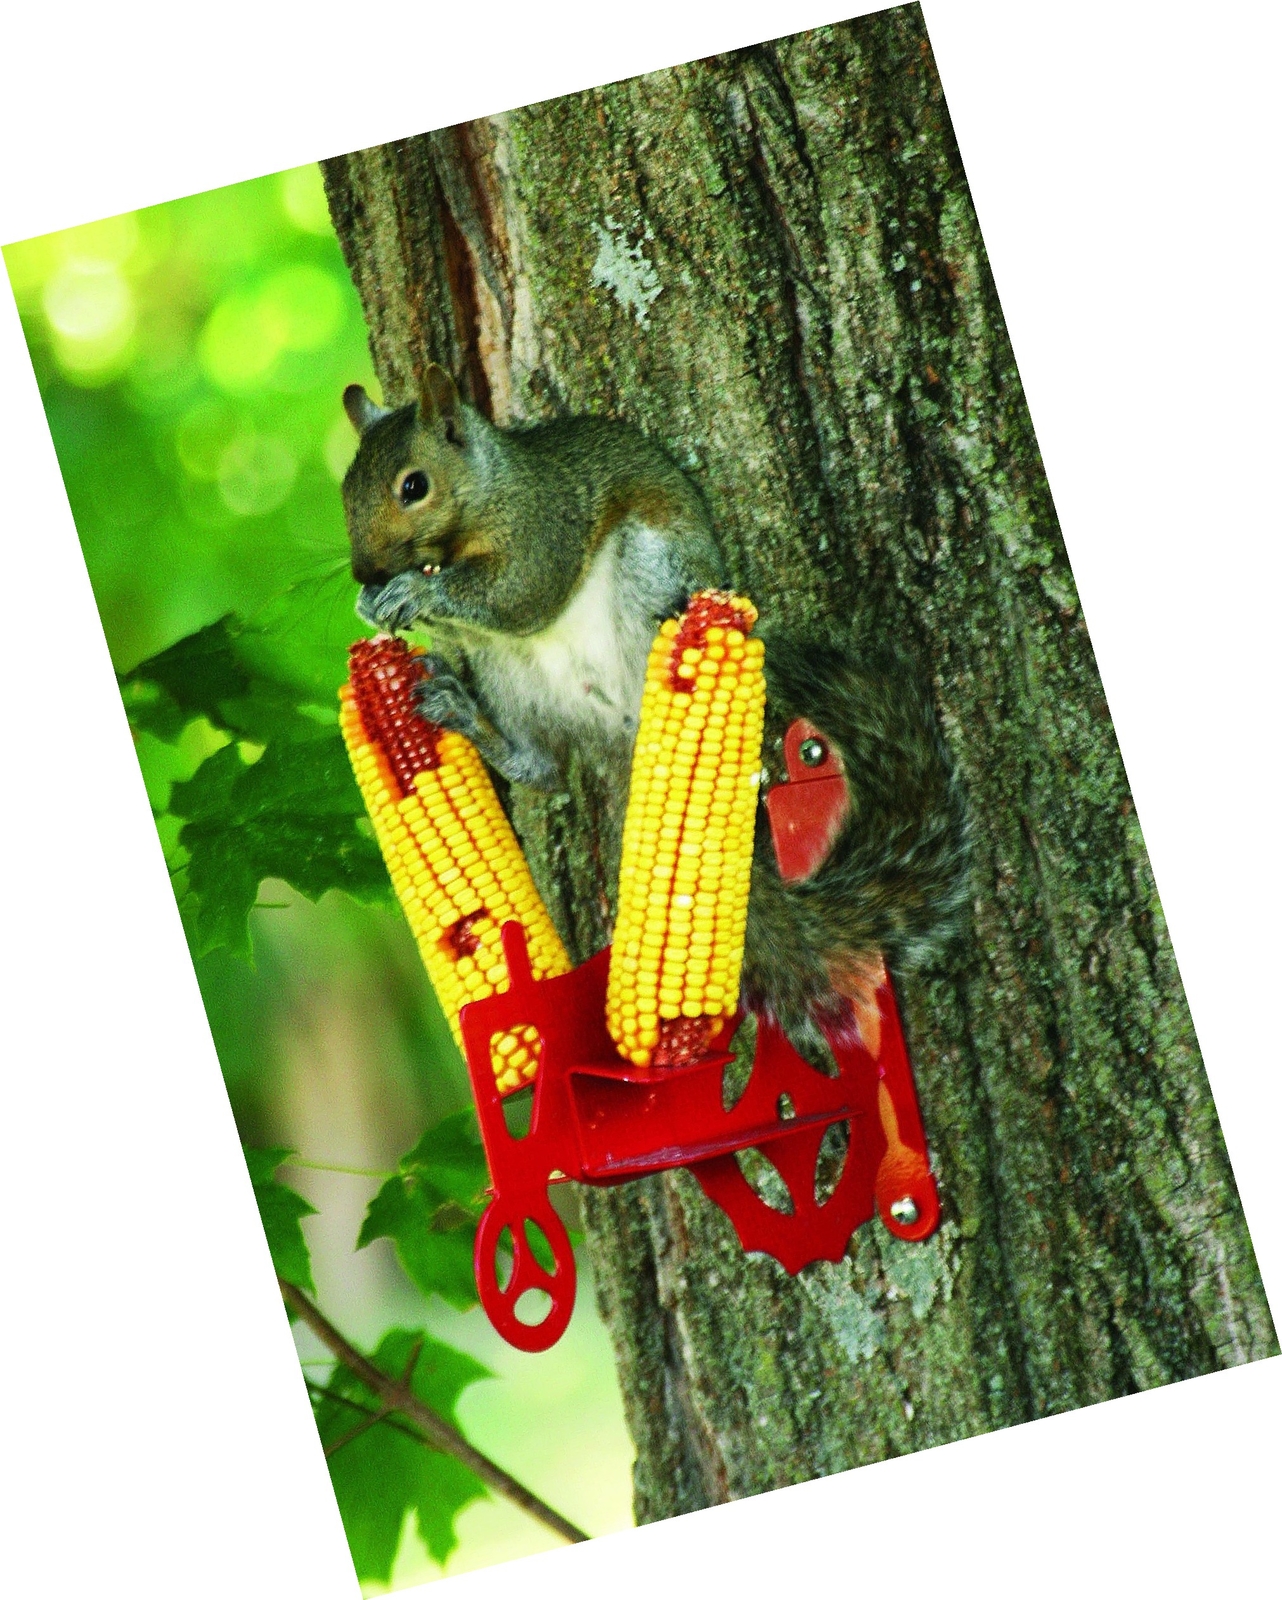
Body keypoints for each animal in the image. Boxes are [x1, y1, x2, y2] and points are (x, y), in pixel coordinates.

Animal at [341, 366, 969, 1034]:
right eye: (347, 490)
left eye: (414, 486)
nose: (364, 571)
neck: (486, 494)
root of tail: (624, 735)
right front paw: (375, 603)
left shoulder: (544, 525)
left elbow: (519, 595)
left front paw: (411, 591)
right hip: (507, 675)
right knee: (541, 766)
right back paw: (463, 710)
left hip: (647, 569)